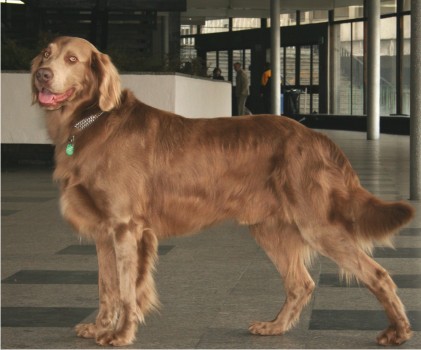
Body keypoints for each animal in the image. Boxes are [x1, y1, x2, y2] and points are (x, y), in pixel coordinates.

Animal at [32, 37, 414, 346]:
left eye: (72, 59)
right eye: (46, 54)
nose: (42, 75)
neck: (91, 121)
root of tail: (316, 136)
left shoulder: (126, 226)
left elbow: (127, 290)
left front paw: (121, 334)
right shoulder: (103, 231)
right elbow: (107, 287)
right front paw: (99, 327)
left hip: (316, 225)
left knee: (377, 274)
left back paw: (398, 331)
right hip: (270, 228)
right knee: (301, 283)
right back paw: (274, 327)